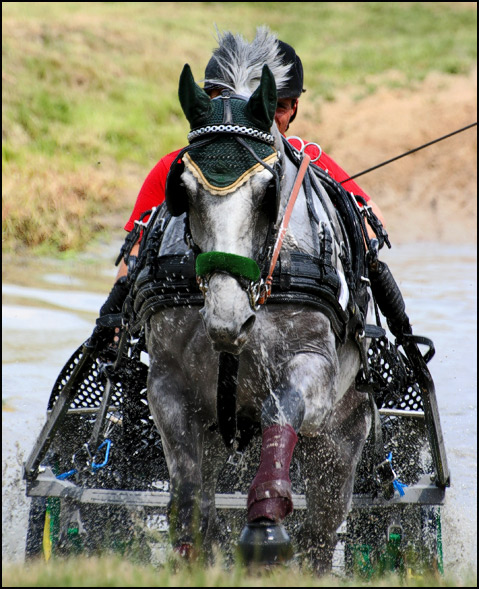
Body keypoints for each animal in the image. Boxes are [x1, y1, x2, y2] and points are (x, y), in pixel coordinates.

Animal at [142, 31, 376, 568]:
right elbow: (188, 488)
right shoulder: (168, 383)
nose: (229, 319)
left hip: (341, 442)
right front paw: (190, 548)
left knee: (320, 530)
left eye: (269, 190)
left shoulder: (313, 367)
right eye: (182, 187)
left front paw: (265, 523)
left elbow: (279, 411)